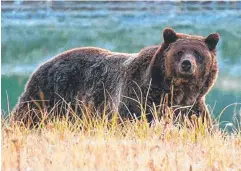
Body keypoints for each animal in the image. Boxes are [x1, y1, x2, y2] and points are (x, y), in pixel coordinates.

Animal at [13, 27, 220, 124]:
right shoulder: (138, 97)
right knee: (28, 116)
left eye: (197, 53)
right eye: (179, 52)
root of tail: (43, 64)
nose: (187, 64)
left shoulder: (192, 108)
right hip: (48, 95)